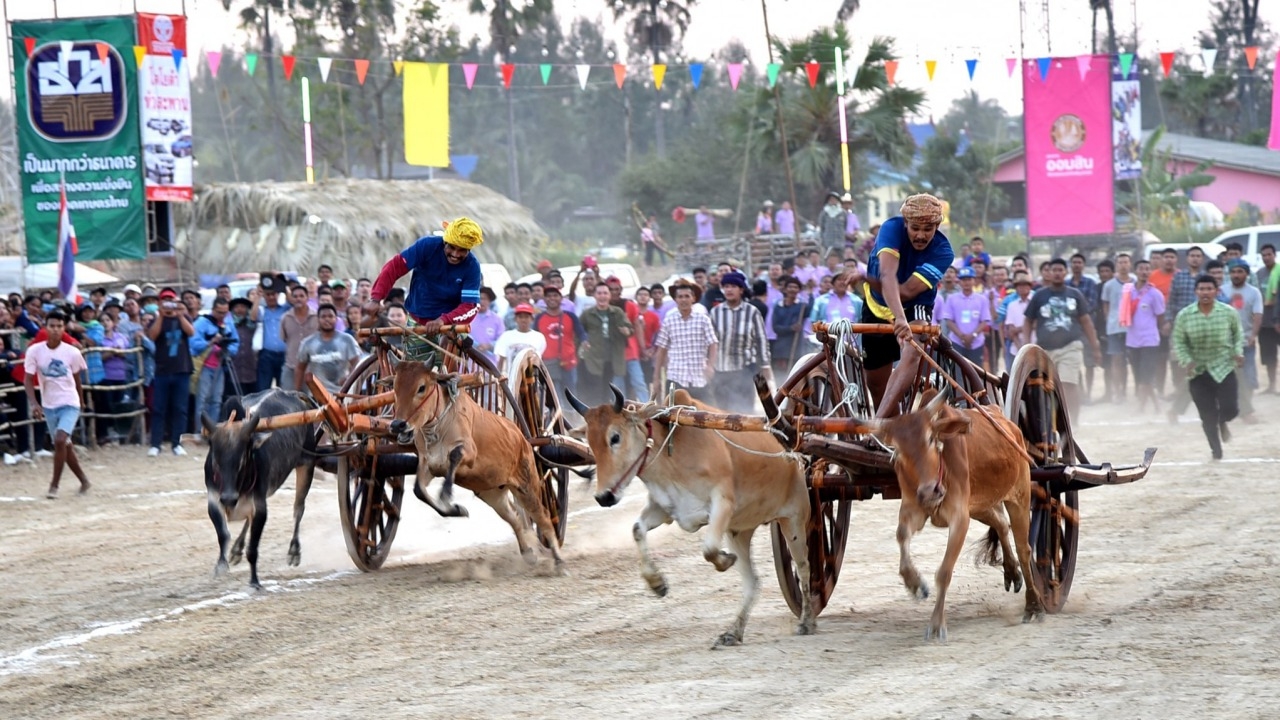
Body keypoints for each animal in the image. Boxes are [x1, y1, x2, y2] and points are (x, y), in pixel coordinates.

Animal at [202, 389, 320, 586]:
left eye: (242, 460)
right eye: (215, 461)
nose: (229, 498)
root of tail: (291, 393)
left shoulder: (260, 505)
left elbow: (253, 549)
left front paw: (255, 582)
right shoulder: (214, 498)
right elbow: (223, 534)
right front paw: (221, 565)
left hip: (307, 463)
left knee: (298, 509)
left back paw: (294, 551)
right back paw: (236, 550)